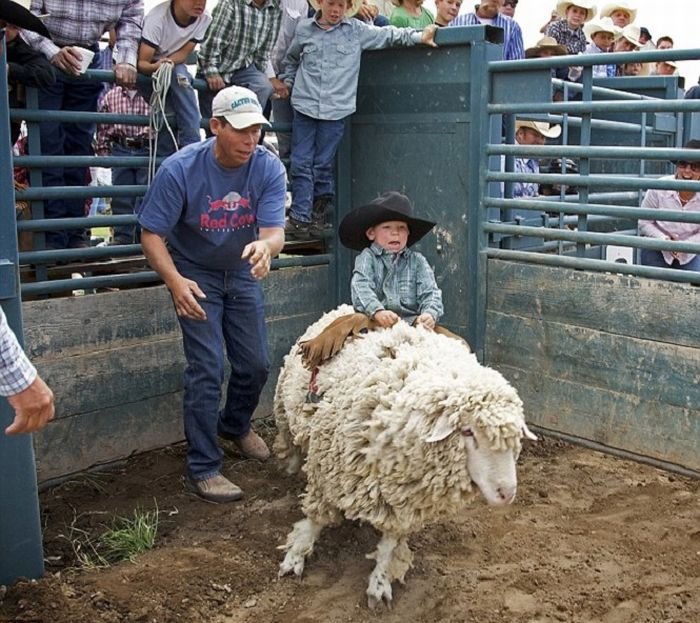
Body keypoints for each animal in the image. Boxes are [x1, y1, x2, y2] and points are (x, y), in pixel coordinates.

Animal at [274, 308, 536, 608]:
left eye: (514, 438)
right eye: (467, 431)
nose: (507, 493)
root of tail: (340, 310)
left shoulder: (406, 502)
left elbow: (390, 544)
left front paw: (379, 585)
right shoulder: (326, 473)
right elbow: (314, 520)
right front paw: (294, 559)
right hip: (284, 411)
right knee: (290, 444)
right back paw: (290, 467)